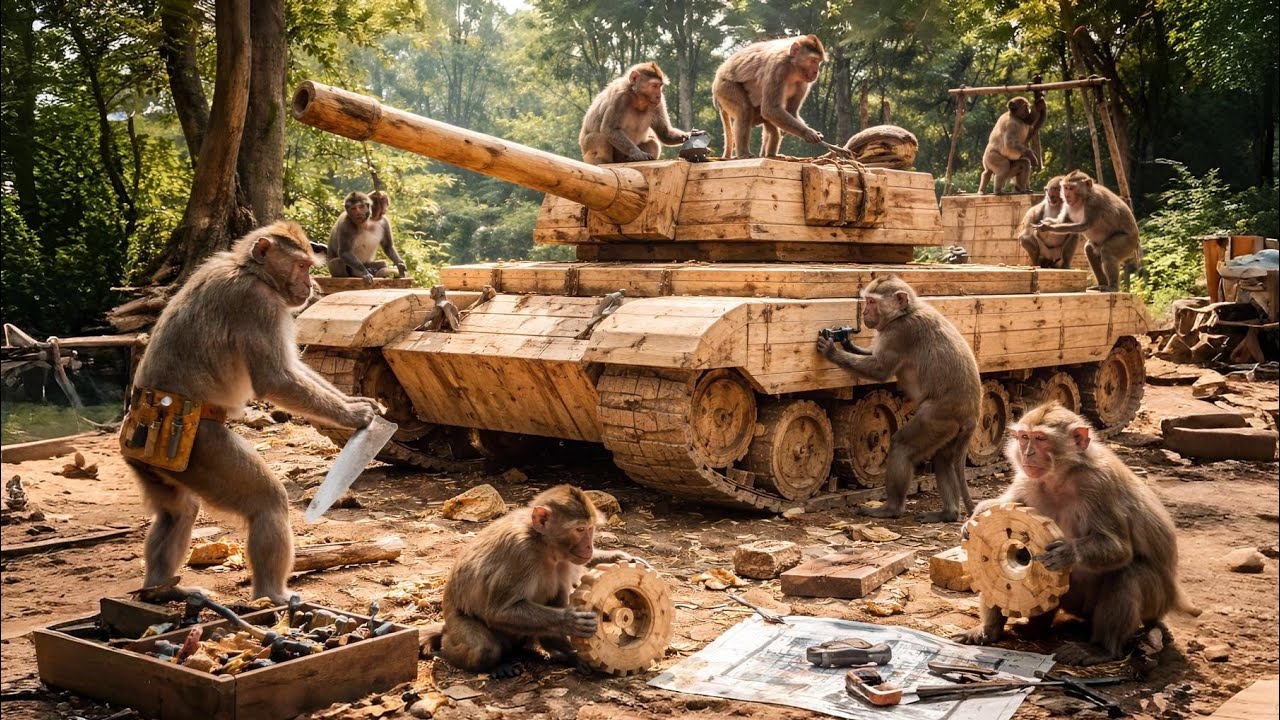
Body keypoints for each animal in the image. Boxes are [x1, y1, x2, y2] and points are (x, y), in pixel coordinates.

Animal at [122, 221, 382, 604]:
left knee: (177, 511)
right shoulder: (258, 303)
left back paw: (159, 588)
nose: (311, 286)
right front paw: (354, 417)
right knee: (267, 503)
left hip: (154, 467)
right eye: (301, 266)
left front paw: (357, 404)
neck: (250, 271)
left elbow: (293, 369)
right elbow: (276, 377)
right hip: (203, 449)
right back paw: (271, 594)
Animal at [423, 485, 648, 677]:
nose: (589, 547)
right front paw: (570, 621)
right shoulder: (521, 553)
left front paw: (618, 557)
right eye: (579, 530)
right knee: (482, 648)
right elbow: (499, 610)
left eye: (590, 528)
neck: (542, 543)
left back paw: (562, 652)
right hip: (456, 626)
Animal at [816, 275, 982, 523]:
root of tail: (972, 414)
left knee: (902, 446)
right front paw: (846, 342)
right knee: (944, 458)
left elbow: (880, 369)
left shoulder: (899, 332)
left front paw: (832, 351)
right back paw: (949, 513)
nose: (865, 312)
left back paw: (891, 509)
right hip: (951, 429)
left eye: (872, 302)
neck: (905, 312)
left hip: (938, 418)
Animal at [955, 402, 1198, 665]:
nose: (1027, 453)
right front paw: (974, 518)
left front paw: (1066, 553)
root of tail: (1174, 598)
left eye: (1041, 439)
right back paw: (1001, 631)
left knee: (1129, 573)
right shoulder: (1027, 480)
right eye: (1024, 438)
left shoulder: (1098, 485)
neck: (1061, 476)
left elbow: (1119, 549)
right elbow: (1007, 506)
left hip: (1156, 602)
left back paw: (1102, 648)